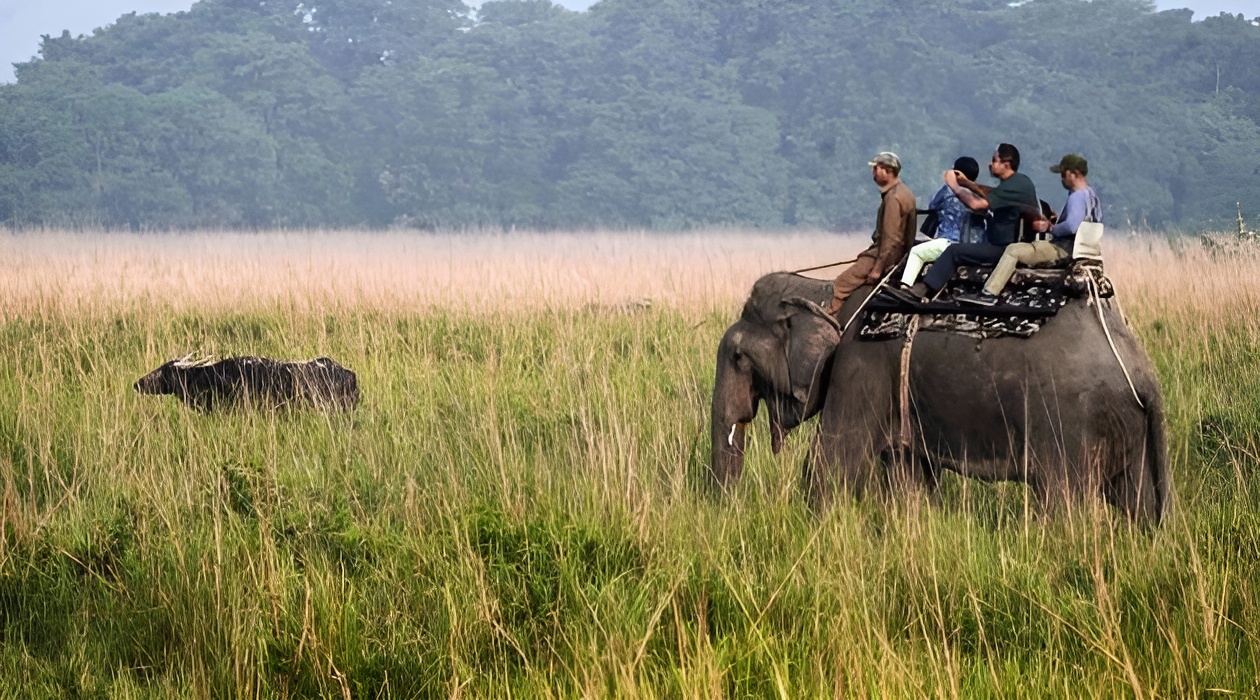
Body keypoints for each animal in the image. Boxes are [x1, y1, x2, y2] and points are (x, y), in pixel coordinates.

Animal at [710, 271, 1168, 523]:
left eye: (738, 356)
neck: (824, 288)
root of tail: (1143, 372)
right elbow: (910, 478)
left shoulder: (860, 364)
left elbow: (832, 465)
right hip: (1130, 430)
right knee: (1139, 503)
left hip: (1069, 424)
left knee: (1063, 503)